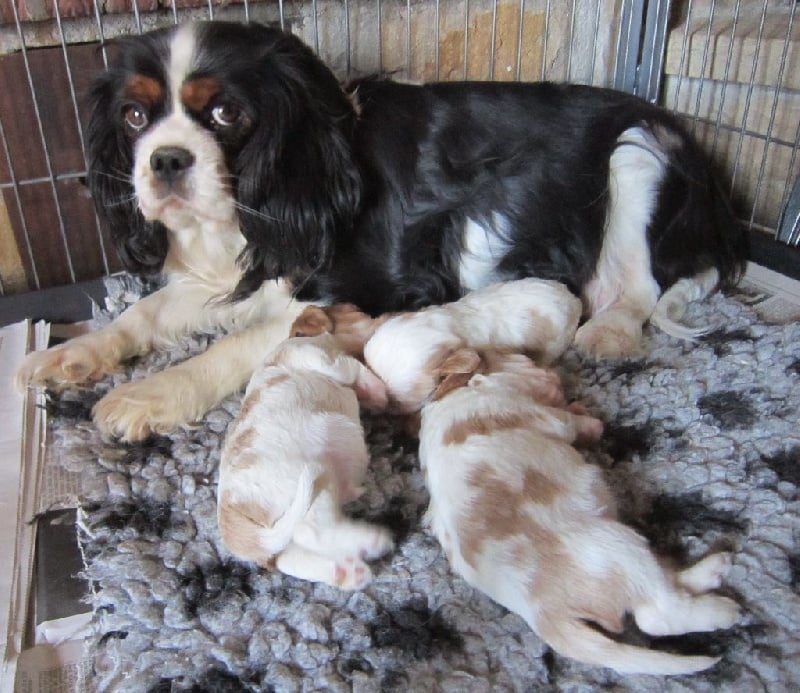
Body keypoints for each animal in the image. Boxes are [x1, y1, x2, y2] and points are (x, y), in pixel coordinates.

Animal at [217, 332, 392, 588]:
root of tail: (236, 532)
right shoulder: (307, 355)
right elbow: (346, 367)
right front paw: (373, 388)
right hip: (309, 481)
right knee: (312, 532)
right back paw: (371, 543)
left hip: (286, 532)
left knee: (290, 556)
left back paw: (349, 572)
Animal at [418, 348, 736, 672]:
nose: (551, 370)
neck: (455, 391)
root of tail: (546, 617)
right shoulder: (544, 414)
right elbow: (570, 422)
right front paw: (588, 419)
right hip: (620, 546)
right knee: (658, 614)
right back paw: (722, 603)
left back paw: (710, 574)